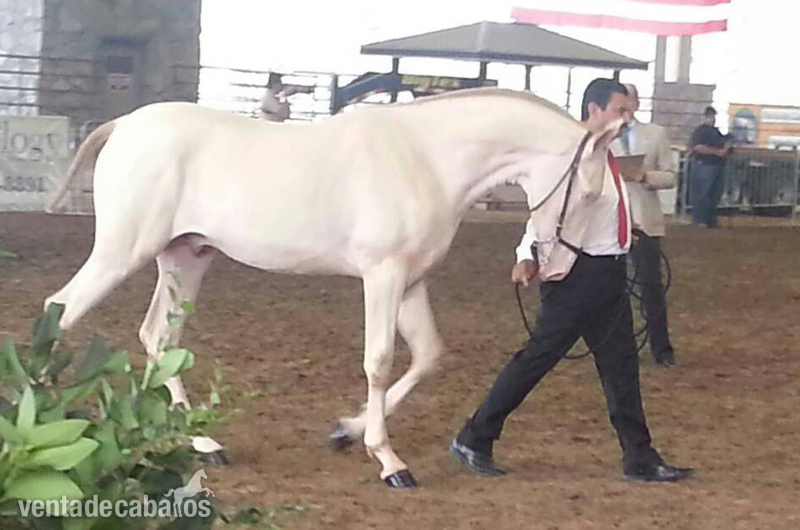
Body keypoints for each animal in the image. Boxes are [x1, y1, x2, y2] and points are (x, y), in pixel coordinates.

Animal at [45, 88, 623, 488]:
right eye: (588, 194)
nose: (554, 271)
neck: (426, 159)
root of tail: (123, 125)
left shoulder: (411, 281)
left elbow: (427, 356)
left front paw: (347, 431)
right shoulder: (383, 275)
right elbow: (380, 361)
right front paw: (389, 461)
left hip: (185, 257)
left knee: (159, 339)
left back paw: (200, 443)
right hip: (123, 251)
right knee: (61, 310)